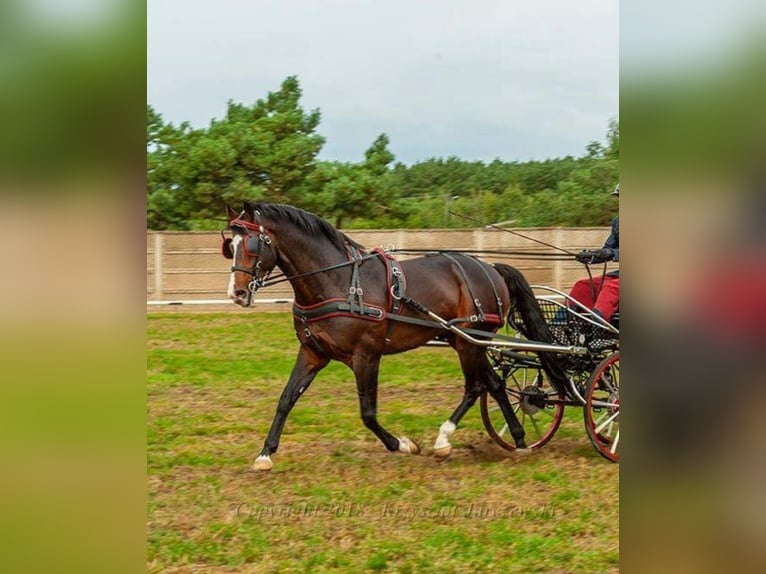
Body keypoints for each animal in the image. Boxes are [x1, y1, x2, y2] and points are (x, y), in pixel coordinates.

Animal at [222, 204, 568, 472]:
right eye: (230, 247)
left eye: (252, 244)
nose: (236, 293)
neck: (339, 280)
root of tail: (490, 268)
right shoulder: (312, 352)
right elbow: (286, 399)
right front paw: (265, 454)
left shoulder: (366, 356)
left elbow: (368, 413)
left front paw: (402, 444)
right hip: (463, 339)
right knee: (494, 384)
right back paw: (519, 439)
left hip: (469, 340)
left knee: (475, 387)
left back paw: (444, 440)